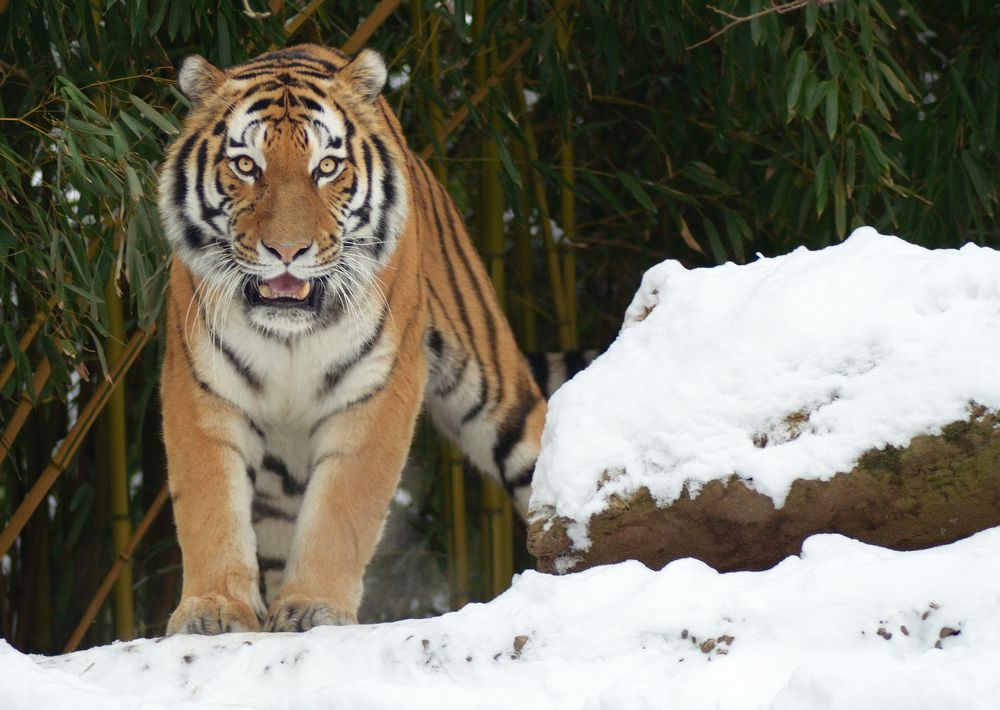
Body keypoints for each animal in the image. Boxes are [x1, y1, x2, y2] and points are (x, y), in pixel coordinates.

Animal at [156, 44, 548, 636]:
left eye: (327, 167)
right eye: (246, 165)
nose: (287, 251)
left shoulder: (378, 388)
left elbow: (344, 507)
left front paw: (312, 607)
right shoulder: (201, 386)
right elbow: (208, 503)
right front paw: (214, 609)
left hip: (500, 399)